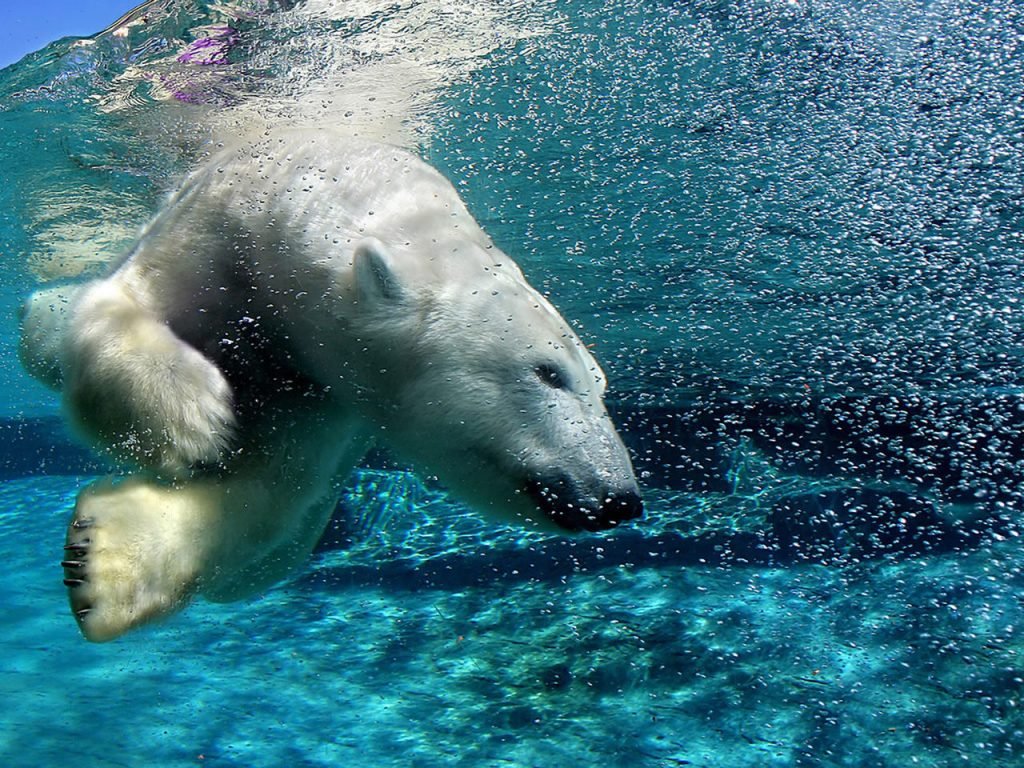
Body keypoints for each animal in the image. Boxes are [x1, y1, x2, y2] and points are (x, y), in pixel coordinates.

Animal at [22, 128, 638, 643]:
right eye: (548, 372)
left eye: (601, 386)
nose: (618, 498)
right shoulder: (215, 232)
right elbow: (122, 305)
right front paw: (193, 418)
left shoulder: (329, 392)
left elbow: (271, 487)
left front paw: (101, 561)